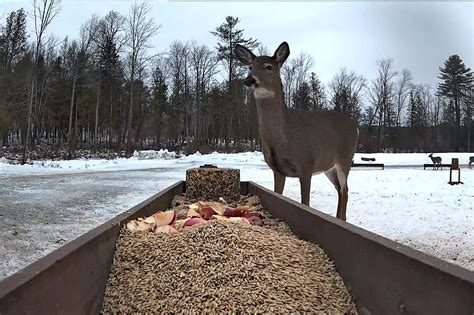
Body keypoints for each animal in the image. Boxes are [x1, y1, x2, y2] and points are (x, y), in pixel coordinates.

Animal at [235, 42, 362, 221]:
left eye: (269, 67)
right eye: (250, 67)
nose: (249, 80)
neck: (284, 137)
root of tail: (355, 126)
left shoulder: (306, 163)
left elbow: (305, 203)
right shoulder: (277, 170)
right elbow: (278, 195)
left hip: (345, 158)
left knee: (345, 190)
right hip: (328, 167)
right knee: (340, 190)